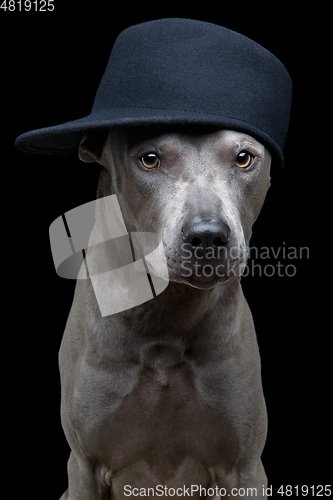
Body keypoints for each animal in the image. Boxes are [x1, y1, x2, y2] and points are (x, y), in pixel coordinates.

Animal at [59, 127, 270, 498]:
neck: (166, 314)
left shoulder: (244, 468)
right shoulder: (85, 467)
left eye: (244, 158)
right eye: (150, 159)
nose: (207, 235)